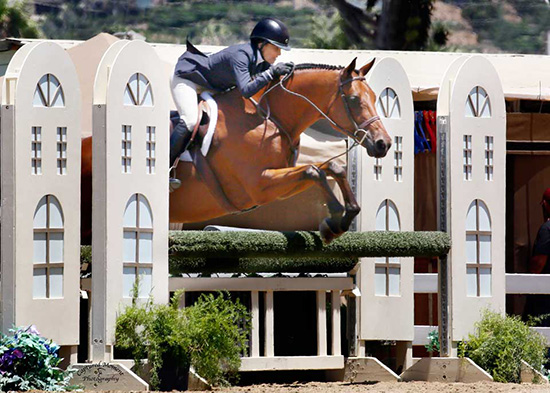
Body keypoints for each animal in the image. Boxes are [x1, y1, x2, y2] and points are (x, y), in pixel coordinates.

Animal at [81, 57, 392, 243]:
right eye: (354, 100)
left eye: (375, 97)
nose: (383, 144)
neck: (268, 117)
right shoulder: (259, 186)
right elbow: (314, 171)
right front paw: (333, 222)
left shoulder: (279, 178)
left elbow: (330, 167)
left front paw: (347, 215)